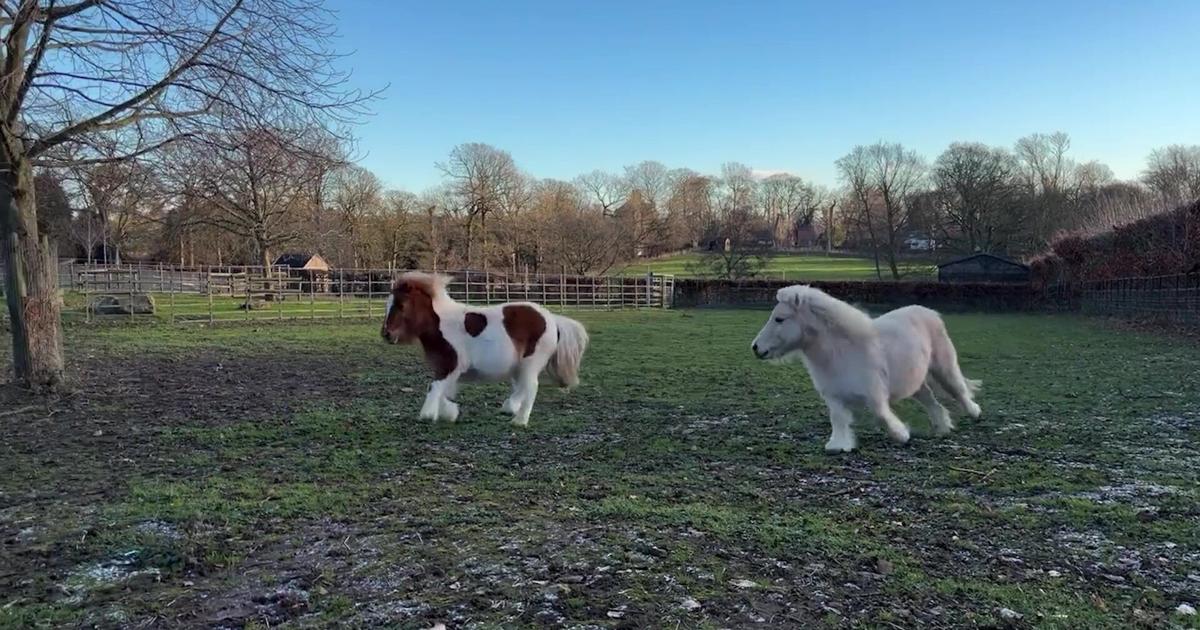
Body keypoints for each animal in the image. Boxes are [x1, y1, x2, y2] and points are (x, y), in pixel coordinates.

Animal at [381, 272, 589, 427]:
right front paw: (451, 413)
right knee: (522, 387)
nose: (386, 334)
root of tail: (552, 319)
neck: (441, 325)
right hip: (519, 367)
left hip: (530, 363)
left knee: (531, 387)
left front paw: (428, 414)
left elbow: (435, 388)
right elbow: (443, 392)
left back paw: (519, 421)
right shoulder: (449, 369)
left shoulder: (450, 365)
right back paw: (509, 408)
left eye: (401, 305)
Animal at [750, 285, 981, 453]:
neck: (842, 351)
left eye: (780, 319)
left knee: (959, 391)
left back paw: (974, 413)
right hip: (916, 385)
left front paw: (902, 434)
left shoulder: (875, 393)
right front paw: (838, 445)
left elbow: (881, 415)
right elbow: (838, 419)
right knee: (933, 403)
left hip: (944, 369)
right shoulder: (834, 396)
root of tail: (930, 312)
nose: (756, 348)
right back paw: (941, 429)